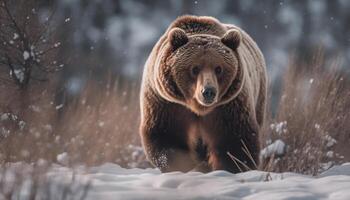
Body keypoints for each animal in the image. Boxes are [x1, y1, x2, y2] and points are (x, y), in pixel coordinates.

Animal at [138, 15, 266, 173]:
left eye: (219, 68)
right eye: (194, 68)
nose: (208, 91)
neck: (198, 107)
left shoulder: (229, 105)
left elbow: (235, 140)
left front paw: (232, 167)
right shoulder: (166, 103)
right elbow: (167, 135)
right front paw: (183, 165)